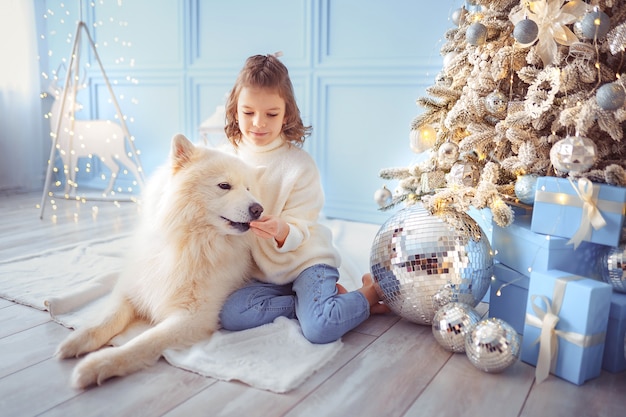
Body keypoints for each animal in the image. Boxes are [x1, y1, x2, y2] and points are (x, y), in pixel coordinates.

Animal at [56, 133, 264, 386]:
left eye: (249, 188)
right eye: (224, 185)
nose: (259, 209)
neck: (188, 243)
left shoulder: (194, 317)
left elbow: (144, 341)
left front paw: (99, 364)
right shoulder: (132, 289)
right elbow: (107, 318)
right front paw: (77, 340)